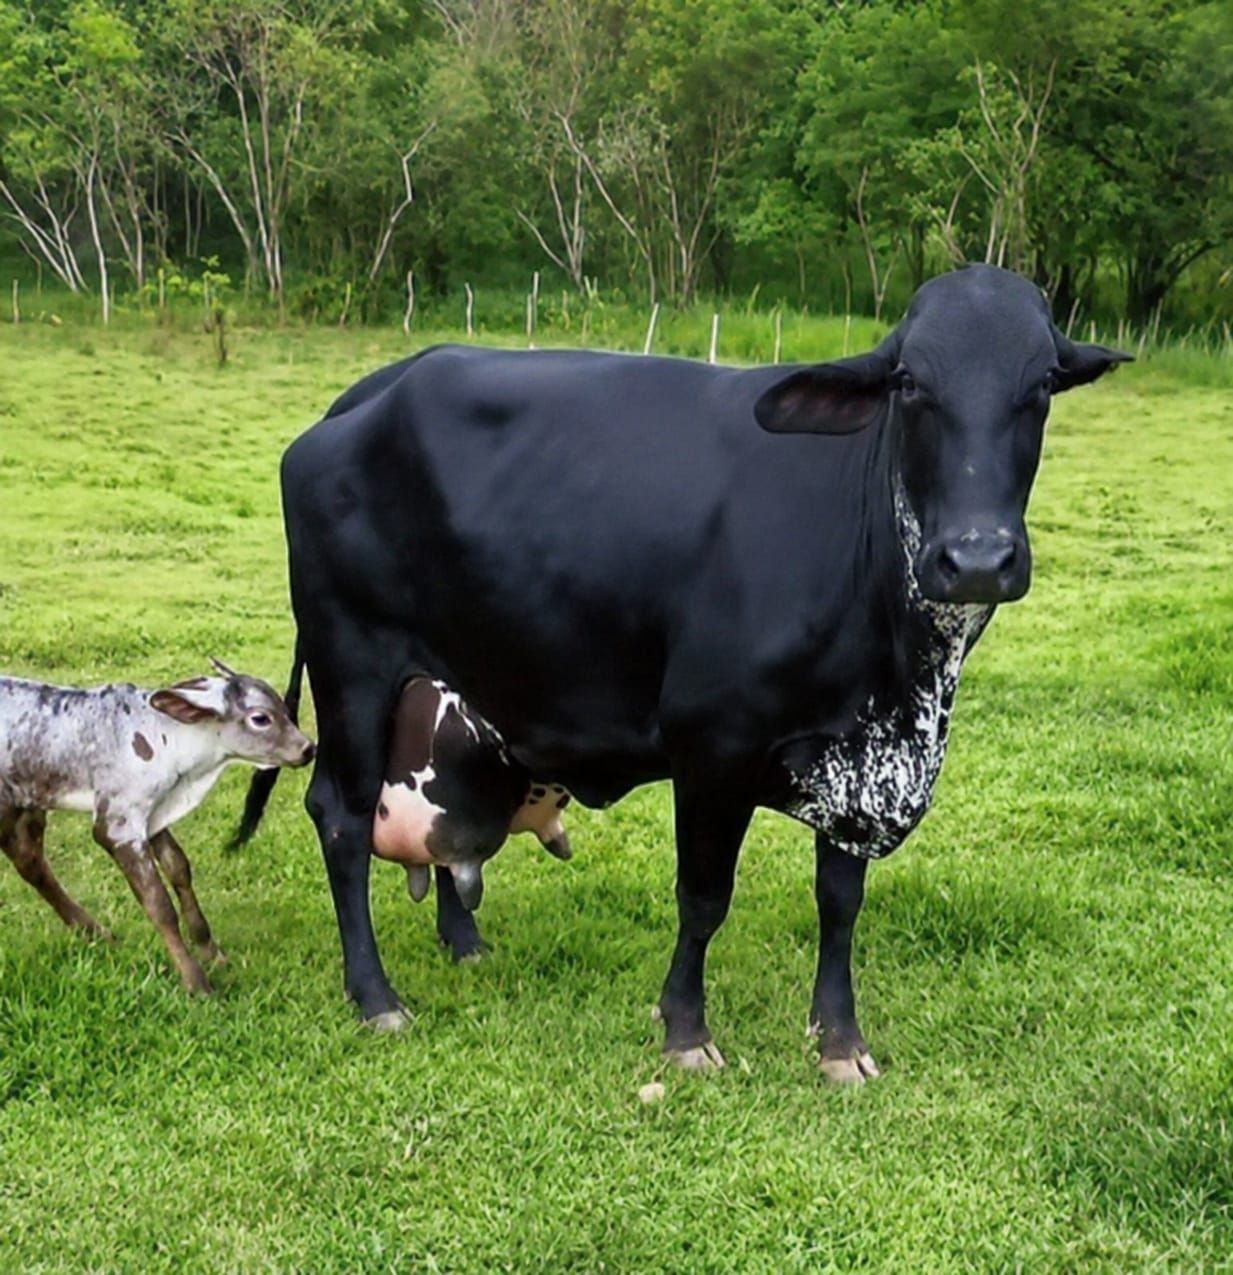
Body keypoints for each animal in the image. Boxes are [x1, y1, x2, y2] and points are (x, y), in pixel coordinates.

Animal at [1, 659, 315, 993]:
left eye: (284, 708)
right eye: (260, 718)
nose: (308, 748)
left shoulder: (153, 815)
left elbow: (179, 868)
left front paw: (210, 951)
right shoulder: (118, 823)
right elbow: (158, 903)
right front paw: (196, 981)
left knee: (29, 859)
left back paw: (96, 933)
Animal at [238, 265, 1129, 1079]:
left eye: (1041, 384)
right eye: (909, 381)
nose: (977, 558)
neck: (905, 678)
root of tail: (368, 393)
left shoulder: (857, 766)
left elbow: (840, 902)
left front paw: (839, 1041)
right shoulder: (713, 744)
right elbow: (703, 899)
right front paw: (685, 1031)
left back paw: (466, 942)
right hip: (353, 665)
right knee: (341, 820)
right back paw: (375, 995)